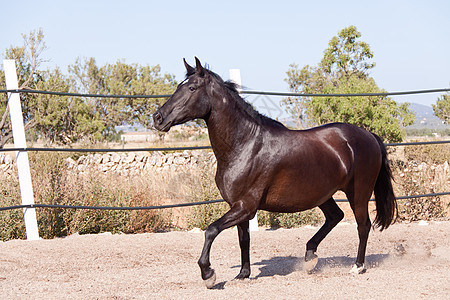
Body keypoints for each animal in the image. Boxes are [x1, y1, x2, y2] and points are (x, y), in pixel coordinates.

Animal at [154, 56, 398, 288]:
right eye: (179, 86)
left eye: (192, 88)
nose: (158, 118)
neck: (244, 145)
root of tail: (369, 136)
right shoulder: (238, 207)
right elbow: (243, 240)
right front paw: (243, 274)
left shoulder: (245, 206)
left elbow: (211, 230)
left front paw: (209, 275)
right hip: (322, 194)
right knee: (335, 216)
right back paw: (310, 257)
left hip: (359, 194)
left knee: (363, 226)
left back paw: (357, 266)